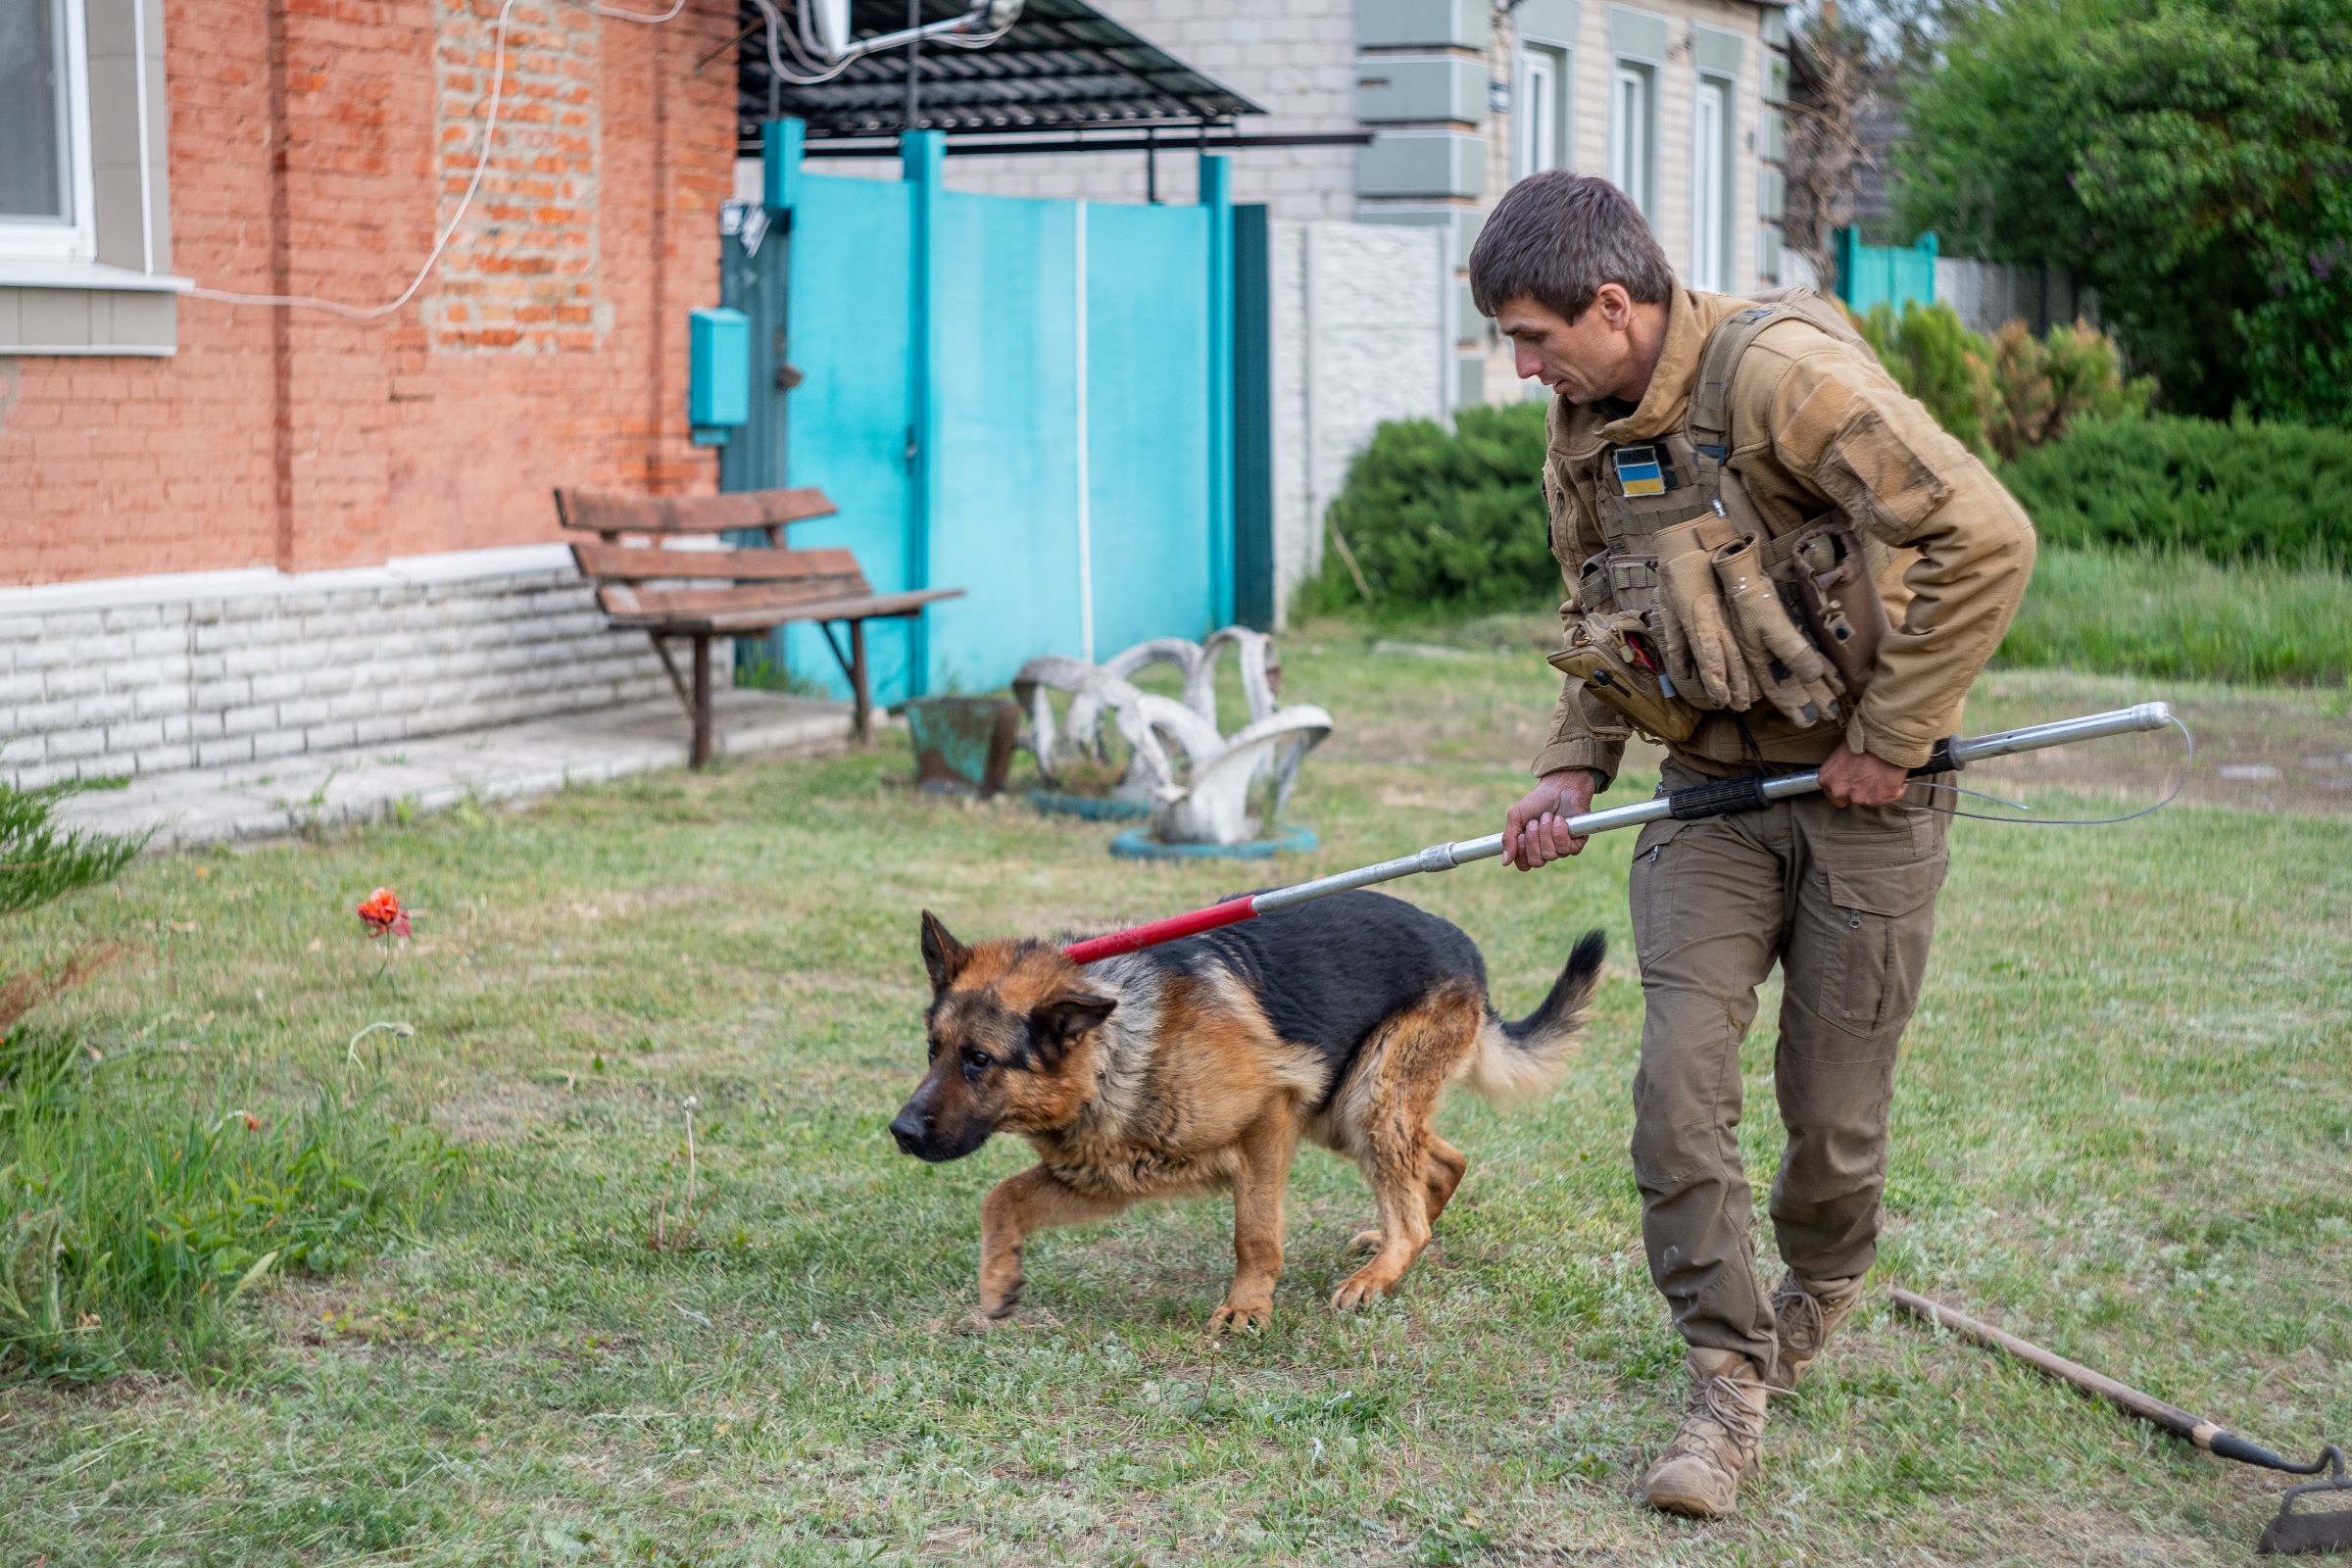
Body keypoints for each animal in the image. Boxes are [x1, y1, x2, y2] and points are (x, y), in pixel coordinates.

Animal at [889, 888, 1608, 1335]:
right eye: (933, 1050)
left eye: (979, 1060)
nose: (900, 1132)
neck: (1115, 1045)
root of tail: (1465, 948)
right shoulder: (1105, 1175)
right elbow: (1002, 1197)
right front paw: (997, 1282)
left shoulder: (1269, 1118)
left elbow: (1254, 1234)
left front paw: (1247, 1309)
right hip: (1345, 1110)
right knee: (1445, 1162)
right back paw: (1388, 1245)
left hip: (1365, 1099)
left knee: (1415, 1211)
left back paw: (1380, 1272)